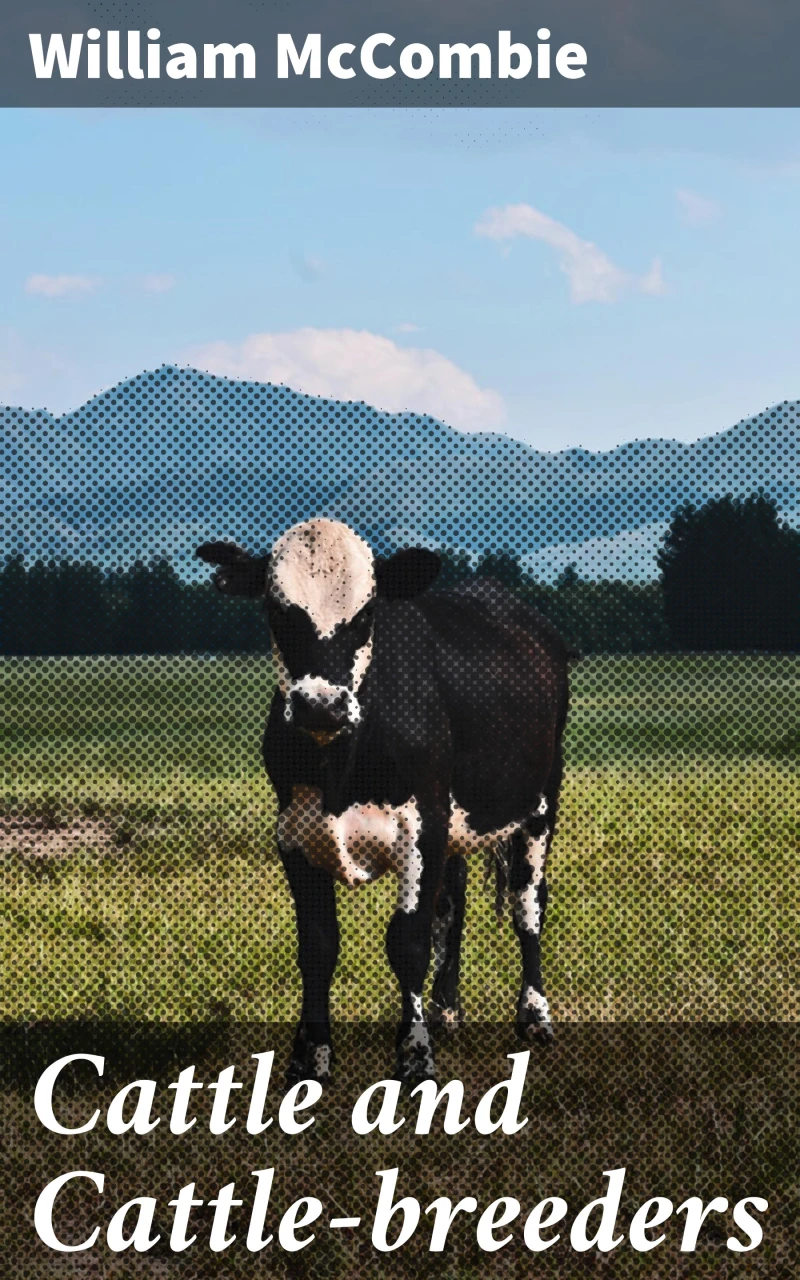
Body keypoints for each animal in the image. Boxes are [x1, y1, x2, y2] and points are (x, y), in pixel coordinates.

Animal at [196, 518, 570, 1086]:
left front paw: (415, 1057)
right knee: (453, 907)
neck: (340, 764)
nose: (320, 705)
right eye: (277, 609)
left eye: (367, 612)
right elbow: (318, 946)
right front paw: (310, 1058)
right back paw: (446, 1010)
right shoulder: (294, 834)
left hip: (540, 804)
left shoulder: (423, 826)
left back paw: (533, 1015)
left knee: (529, 904)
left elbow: (408, 943)